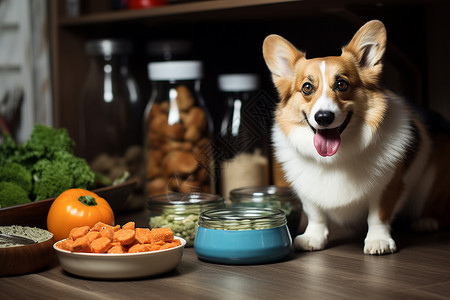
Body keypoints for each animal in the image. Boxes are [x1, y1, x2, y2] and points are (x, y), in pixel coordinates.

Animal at [262, 19, 450, 254]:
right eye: (307, 88)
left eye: (342, 84)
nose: (323, 117)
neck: (335, 159)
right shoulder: (307, 193)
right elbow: (315, 214)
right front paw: (313, 237)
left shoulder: (388, 185)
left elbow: (378, 216)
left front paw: (378, 240)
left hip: (432, 180)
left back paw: (426, 221)